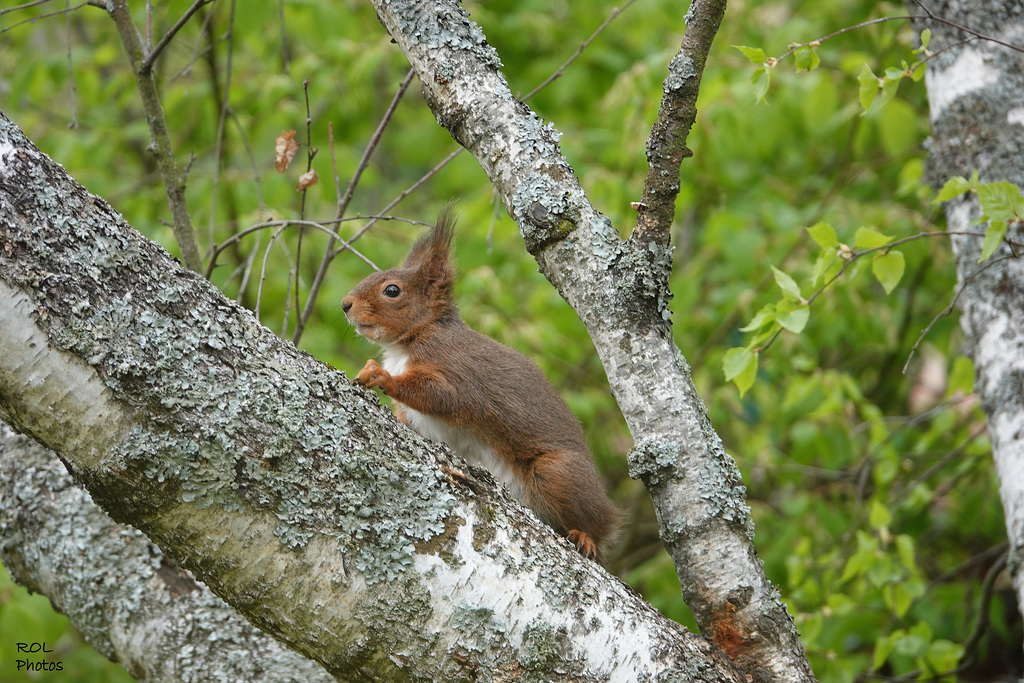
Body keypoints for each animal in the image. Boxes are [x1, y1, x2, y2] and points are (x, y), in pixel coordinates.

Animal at [342, 206, 614, 561]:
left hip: (558, 473)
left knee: (595, 522)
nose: (345, 304)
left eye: (392, 290)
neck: (409, 342)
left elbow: (442, 397)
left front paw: (380, 375)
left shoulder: (458, 373)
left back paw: (587, 536)